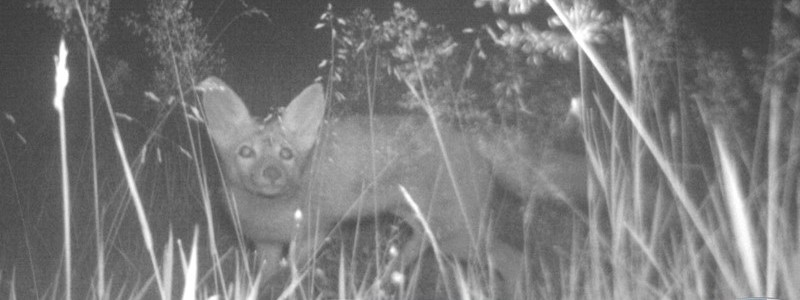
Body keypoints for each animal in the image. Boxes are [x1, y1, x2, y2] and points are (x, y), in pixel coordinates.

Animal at [198, 76, 588, 296]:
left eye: (286, 153)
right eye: (245, 152)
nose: (271, 173)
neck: (269, 215)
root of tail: (470, 134)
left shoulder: (314, 233)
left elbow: (291, 275)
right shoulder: (263, 247)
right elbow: (258, 281)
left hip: (458, 236)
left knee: (516, 260)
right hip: (431, 231)